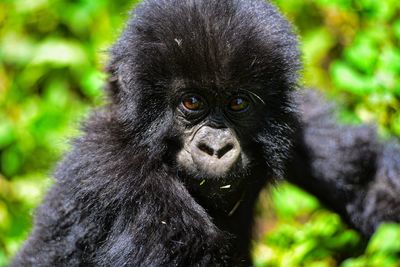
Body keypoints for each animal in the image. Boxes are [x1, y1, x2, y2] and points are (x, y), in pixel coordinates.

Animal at [12, 0, 400, 266]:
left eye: (238, 102)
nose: (215, 147)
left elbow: (370, 181)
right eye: (192, 102)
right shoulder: (131, 189)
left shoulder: (298, 118)